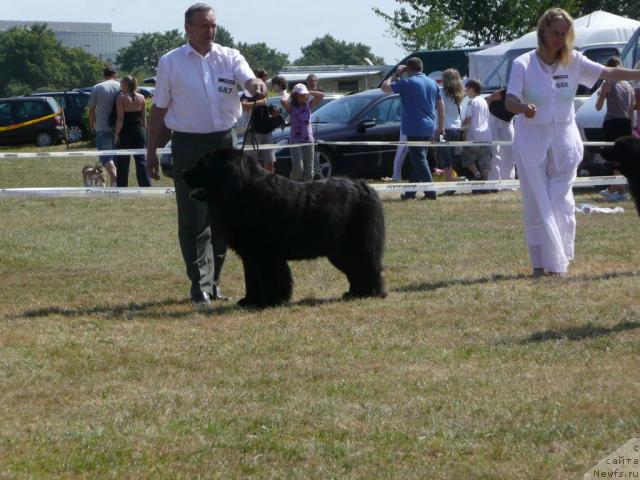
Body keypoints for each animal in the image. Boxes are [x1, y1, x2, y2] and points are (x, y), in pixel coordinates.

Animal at [182, 149, 388, 308]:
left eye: (203, 164)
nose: (183, 172)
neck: (242, 191)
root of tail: (365, 187)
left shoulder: (266, 254)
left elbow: (271, 277)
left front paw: (271, 301)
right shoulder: (251, 255)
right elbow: (253, 278)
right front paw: (251, 301)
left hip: (357, 245)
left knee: (368, 265)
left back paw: (372, 292)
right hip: (340, 251)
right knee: (356, 269)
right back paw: (355, 293)